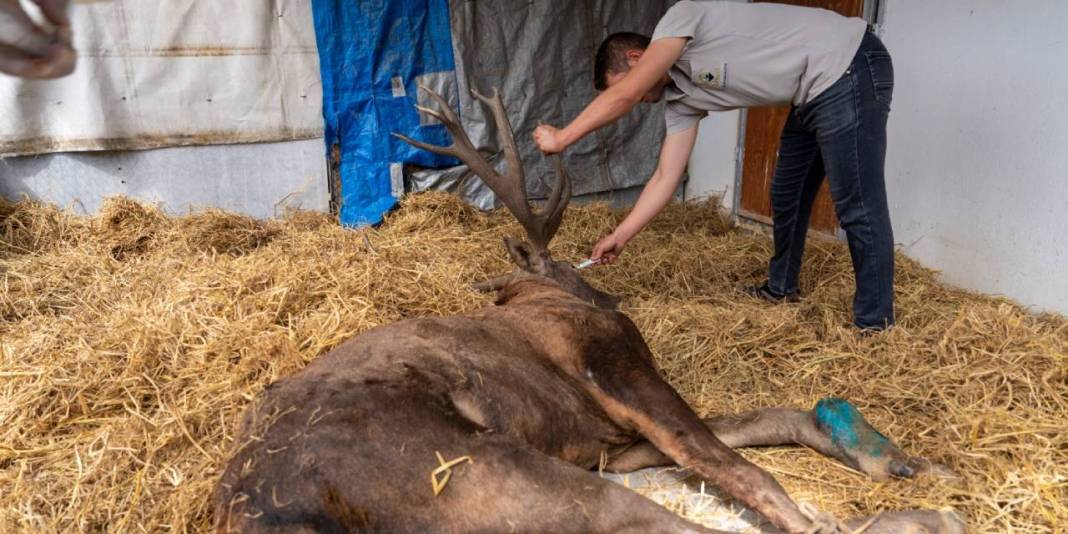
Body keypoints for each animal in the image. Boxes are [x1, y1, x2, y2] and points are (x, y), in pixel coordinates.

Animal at [212, 85, 965, 531]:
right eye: (572, 272)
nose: (608, 291)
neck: (535, 293)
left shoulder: (612, 440)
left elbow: (756, 423)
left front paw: (900, 461)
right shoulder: (617, 370)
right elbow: (734, 462)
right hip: (493, 473)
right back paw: (922, 519)